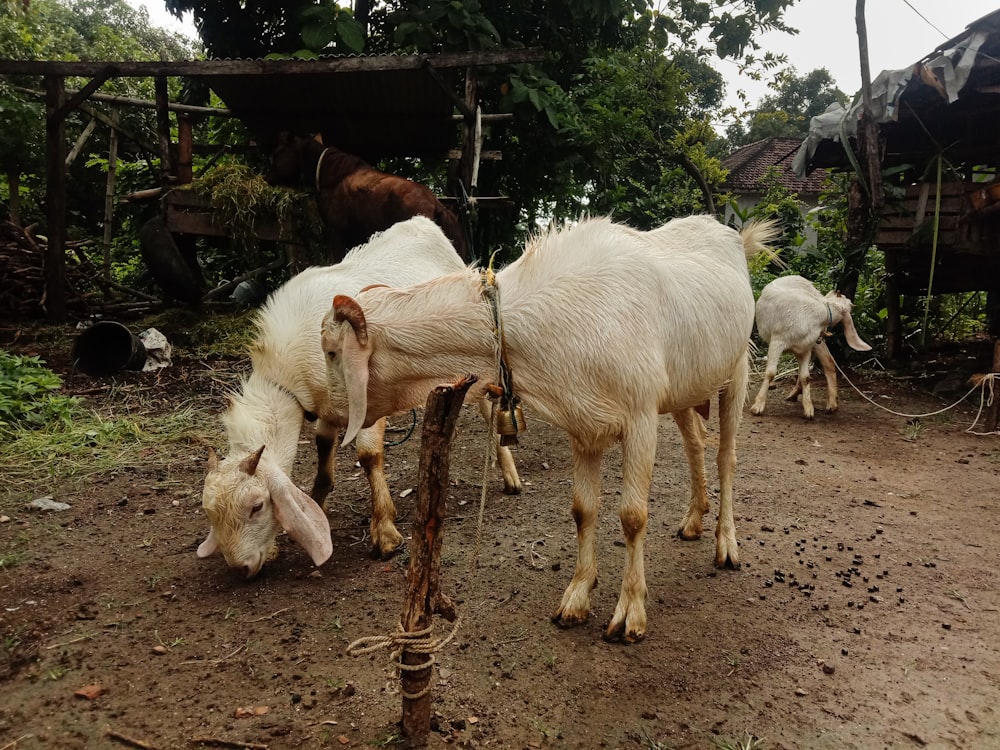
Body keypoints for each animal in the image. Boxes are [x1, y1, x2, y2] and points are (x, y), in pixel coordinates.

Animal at [197, 217, 524, 580]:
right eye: (209, 513)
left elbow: (368, 455)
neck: (288, 374)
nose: (240, 568)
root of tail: (426, 224)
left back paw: (510, 476)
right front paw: (317, 503)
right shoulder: (325, 405)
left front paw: (385, 532)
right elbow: (324, 448)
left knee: (489, 407)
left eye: (257, 506)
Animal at [316, 214, 776, 644]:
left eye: (332, 351)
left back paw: (726, 545)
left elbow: (632, 516)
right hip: (685, 386)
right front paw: (576, 598)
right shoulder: (584, 425)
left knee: (726, 457)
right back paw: (694, 519)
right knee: (695, 443)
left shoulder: (641, 416)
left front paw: (630, 613)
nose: (329, 416)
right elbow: (582, 509)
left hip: (736, 368)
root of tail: (732, 236)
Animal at [752, 274, 868, 420]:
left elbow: (806, 377)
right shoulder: (777, 342)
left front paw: (808, 408)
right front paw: (758, 405)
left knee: (827, 362)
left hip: (809, 345)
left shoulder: (806, 349)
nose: (836, 291)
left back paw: (827, 403)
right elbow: (771, 373)